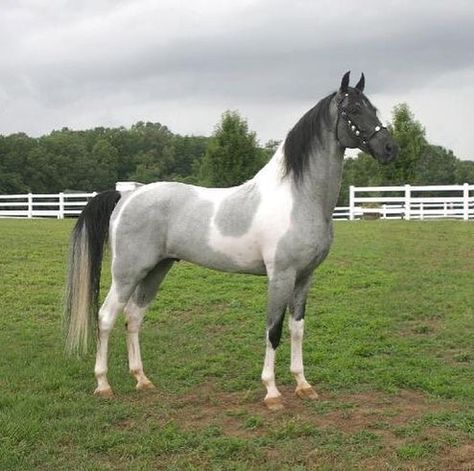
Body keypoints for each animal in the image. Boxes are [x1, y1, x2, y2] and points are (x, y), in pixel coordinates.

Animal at [63, 72, 396, 412]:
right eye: (354, 110)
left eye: (373, 108)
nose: (389, 148)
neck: (298, 198)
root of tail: (127, 195)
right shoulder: (281, 276)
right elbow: (273, 330)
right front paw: (272, 392)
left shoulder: (304, 277)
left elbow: (297, 329)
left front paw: (303, 385)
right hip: (127, 273)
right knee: (106, 318)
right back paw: (103, 385)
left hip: (157, 270)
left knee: (133, 317)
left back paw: (142, 380)